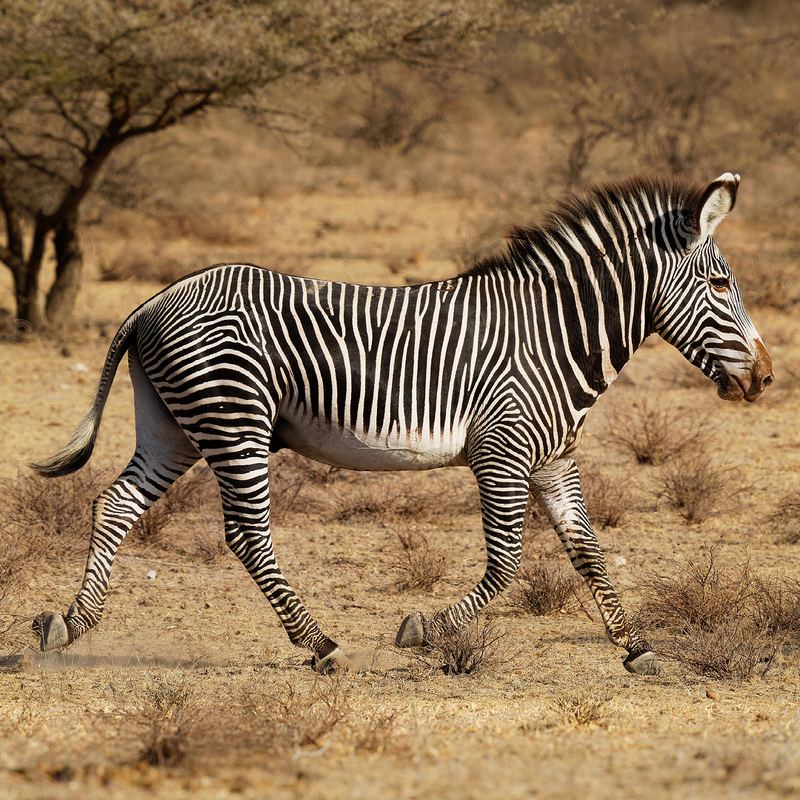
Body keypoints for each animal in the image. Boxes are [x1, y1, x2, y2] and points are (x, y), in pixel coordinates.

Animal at [31, 172, 773, 676]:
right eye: (720, 287)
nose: (767, 379)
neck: (555, 337)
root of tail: (155, 299)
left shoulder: (554, 459)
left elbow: (587, 550)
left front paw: (636, 645)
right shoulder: (501, 451)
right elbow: (506, 561)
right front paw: (424, 629)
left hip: (175, 425)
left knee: (115, 504)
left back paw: (72, 623)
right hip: (234, 419)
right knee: (245, 534)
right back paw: (320, 643)